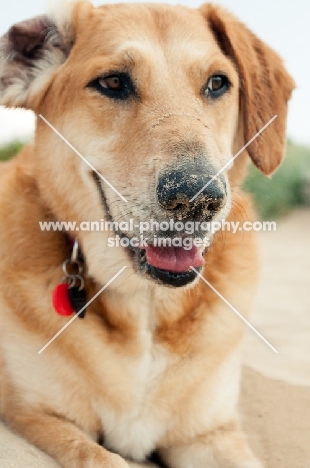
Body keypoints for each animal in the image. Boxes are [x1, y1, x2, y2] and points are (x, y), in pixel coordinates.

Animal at [0, 0, 294, 468]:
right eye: (113, 82)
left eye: (217, 83)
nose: (196, 198)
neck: (146, 304)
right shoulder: (39, 415)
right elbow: (102, 457)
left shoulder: (211, 433)